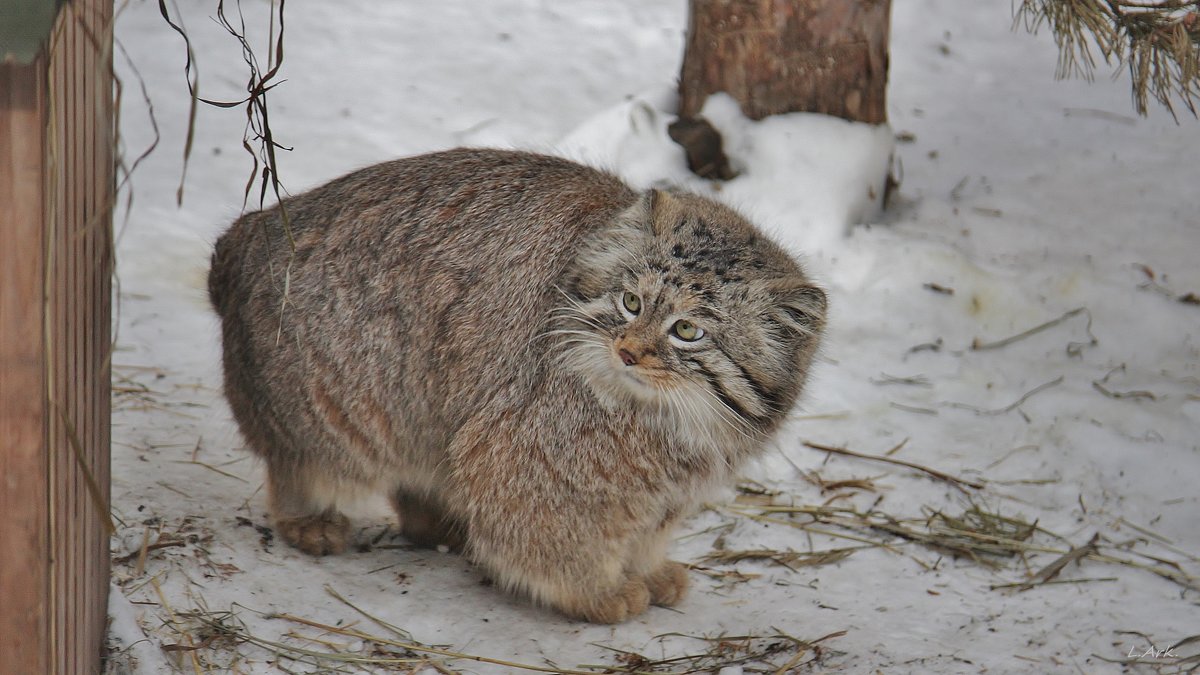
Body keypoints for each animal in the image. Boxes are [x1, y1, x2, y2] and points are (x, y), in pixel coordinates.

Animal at [208, 147, 825, 619]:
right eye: (631, 302)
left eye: (688, 331)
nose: (627, 351)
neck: (674, 423)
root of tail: (249, 230)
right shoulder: (526, 456)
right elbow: (559, 537)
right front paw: (598, 592)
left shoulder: (662, 497)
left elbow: (643, 533)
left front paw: (646, 571)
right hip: (340, 403)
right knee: (301, 462)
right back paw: (309, 519)